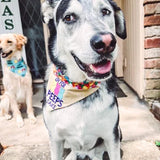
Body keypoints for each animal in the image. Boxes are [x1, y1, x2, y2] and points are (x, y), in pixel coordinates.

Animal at [41, 0, 126, 159]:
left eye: (105, 11)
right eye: (69, 17)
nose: (106, 43)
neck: (78, 87)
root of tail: (85, 152)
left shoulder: (111, 136)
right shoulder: (55, 139)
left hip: (118, 132)